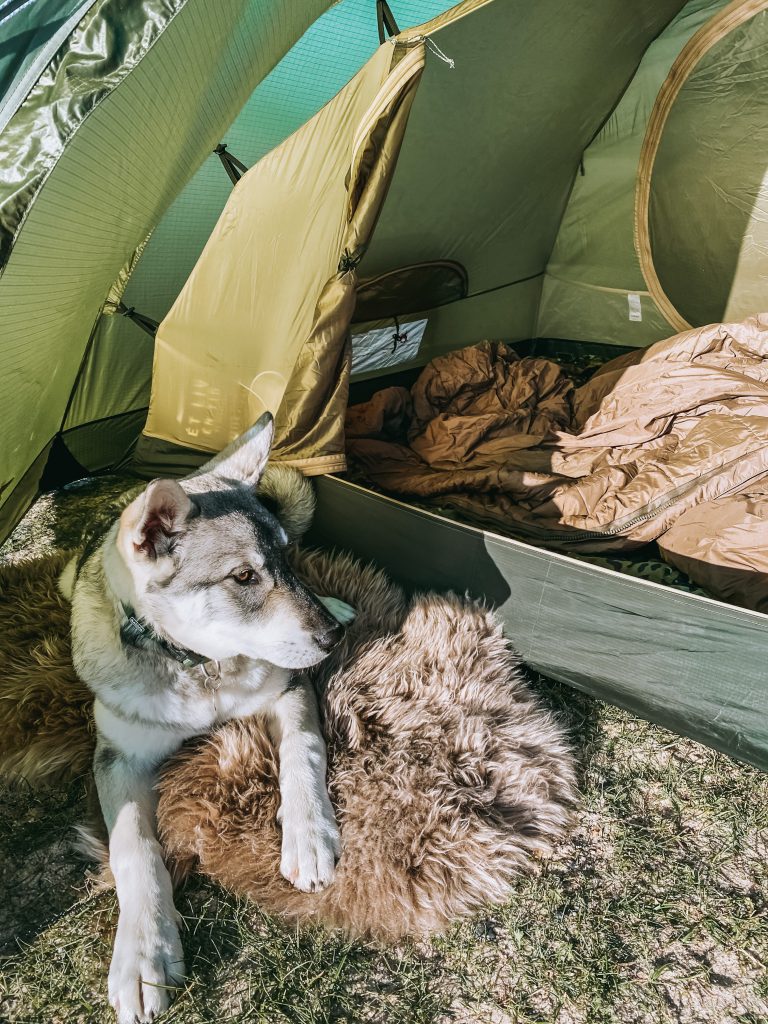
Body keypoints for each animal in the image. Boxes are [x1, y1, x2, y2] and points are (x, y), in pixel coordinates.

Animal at [61, 413, 354, 1024]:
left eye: (283, 562)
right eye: (242, 577)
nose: (330, 639)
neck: (202, 669)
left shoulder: (289, 689)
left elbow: (304, 750)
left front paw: (309, 834)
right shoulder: (116, 758)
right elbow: (133, 846)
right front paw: (143, 953)